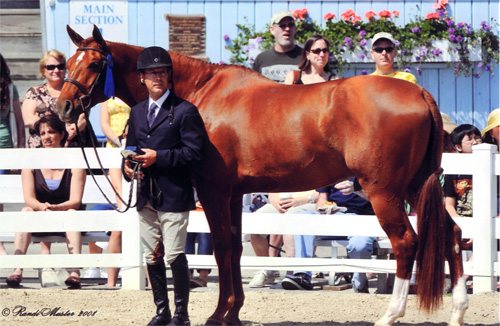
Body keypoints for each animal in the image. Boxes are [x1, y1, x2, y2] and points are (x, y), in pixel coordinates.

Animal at [58, 25, 468, 326]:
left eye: (93, 65)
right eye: (68, 63)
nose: (63, 107)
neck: (200, 94)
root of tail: (420, 95)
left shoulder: (213, 190)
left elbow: (222, 248)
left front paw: (218, 314)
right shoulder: (235, 193)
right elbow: (236, 249)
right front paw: (234, 312)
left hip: (385, 191)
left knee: (406, 243)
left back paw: (390, 315)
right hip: (416, 186)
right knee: (451, 234)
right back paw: (458, 312)